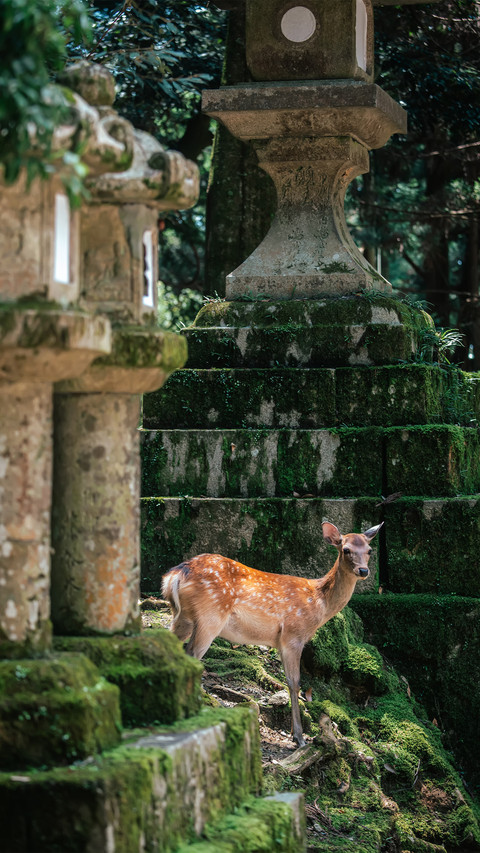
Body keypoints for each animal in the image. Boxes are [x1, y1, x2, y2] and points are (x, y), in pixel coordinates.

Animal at [162, 521, 382, 747]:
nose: (363, 570)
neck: (319, 604)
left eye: (370, 550)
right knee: (192, 655)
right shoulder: (293, 635)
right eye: (345, 549)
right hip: (210, 616)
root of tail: (175, 575)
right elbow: (295, 683)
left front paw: (295, 733)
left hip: (182, 617)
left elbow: (287, 680)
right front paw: (299, 737)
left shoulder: (280, 642)